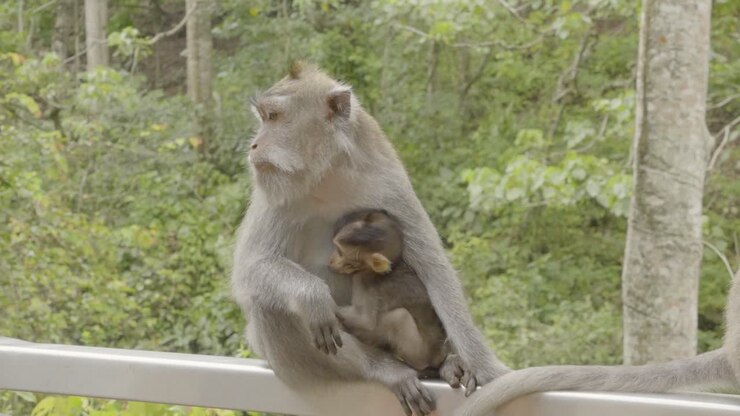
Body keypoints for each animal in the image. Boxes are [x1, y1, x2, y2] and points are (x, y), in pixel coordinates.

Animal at [328, 208, 454, 373]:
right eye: (337, 249)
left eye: (343, 256)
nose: (331, 263)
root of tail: (438, 354)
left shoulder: (365, 283)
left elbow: (365, 320)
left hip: (418, 351)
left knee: (400, 317)